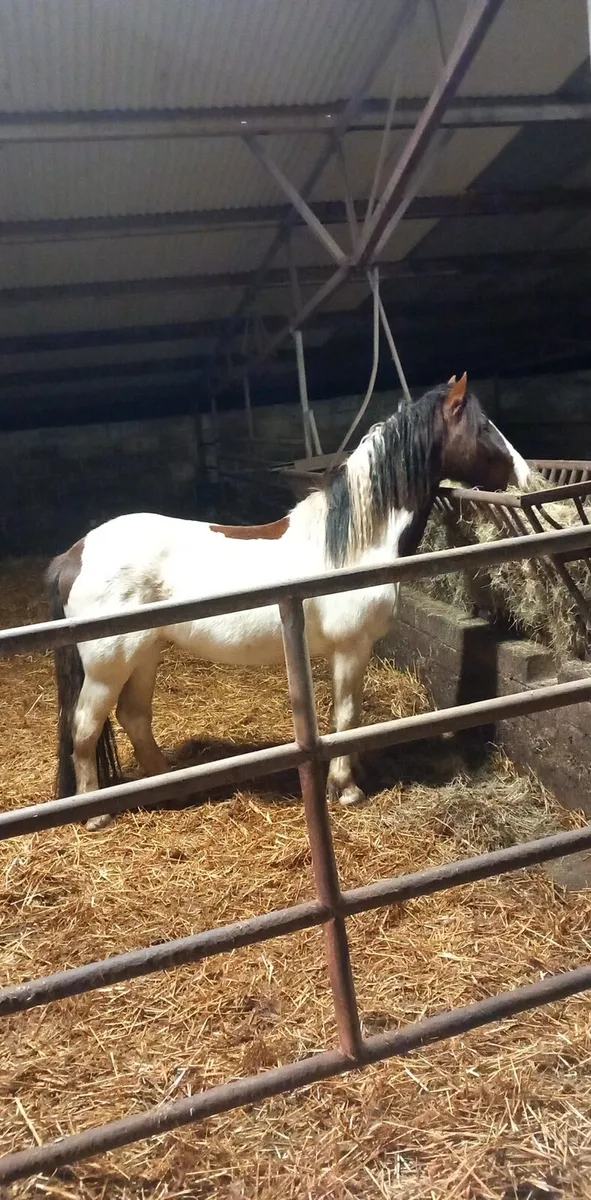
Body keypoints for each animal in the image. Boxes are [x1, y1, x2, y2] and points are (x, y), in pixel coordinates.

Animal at [46, 374, 530, 831]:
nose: (523, 476)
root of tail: (74, 553)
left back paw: (173, 786)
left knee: (134, 717)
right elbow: (347, 716)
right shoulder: (352, 648)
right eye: (484, 426)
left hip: (145, 653)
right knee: (85, 726)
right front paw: (346, 789)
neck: (352, 545)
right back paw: (96, 814)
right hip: (109, 665)